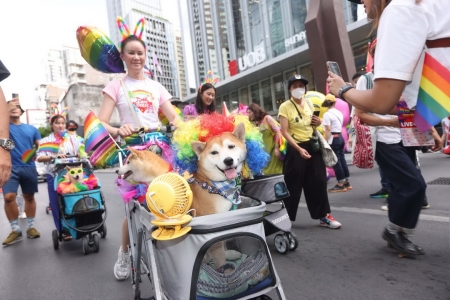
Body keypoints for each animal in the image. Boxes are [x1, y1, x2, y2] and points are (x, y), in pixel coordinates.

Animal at [189, 122, 248, 272]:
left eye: (231, 146)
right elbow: (219, 255)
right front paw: (226, 271)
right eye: (214, 152)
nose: (228, 161)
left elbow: (224, 243)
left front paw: (228, 254)